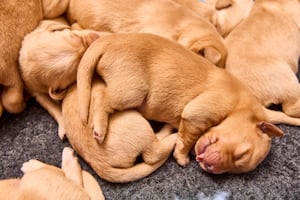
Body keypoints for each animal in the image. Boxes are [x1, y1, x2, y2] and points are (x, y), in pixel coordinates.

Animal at [75, 32, 284, 173]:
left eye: (235, 169)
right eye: (241, 155)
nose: (210, 167)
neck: (240, 106)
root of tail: (109, 41)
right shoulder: (198, 114)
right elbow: (187, 139)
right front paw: (182, 157)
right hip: (132, 89)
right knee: (103, 99)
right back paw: (99, 128)